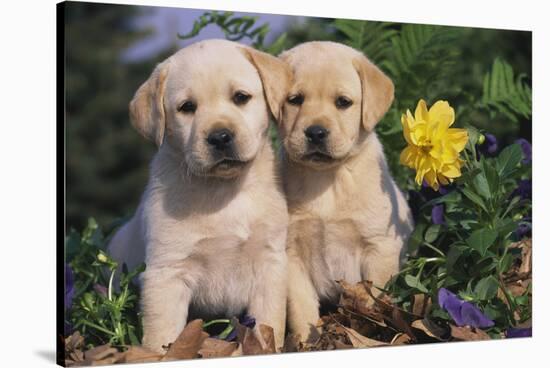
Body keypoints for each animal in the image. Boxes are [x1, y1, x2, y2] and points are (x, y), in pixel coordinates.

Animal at [105, 38, 292, 352]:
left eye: (241, 97)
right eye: (187, 107)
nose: (220, 137)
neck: (221, 190)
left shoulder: (270, 264)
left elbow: (269, 324)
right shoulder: (167, 273)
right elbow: (162, 335)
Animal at [280, 42, 414, 342]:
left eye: (343, 102)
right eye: (295, 100)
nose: (316, 132)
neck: (329, 178)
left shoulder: (380, 247)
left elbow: (372, 299)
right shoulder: (292, 255)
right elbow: (302, 308)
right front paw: (307, 341)